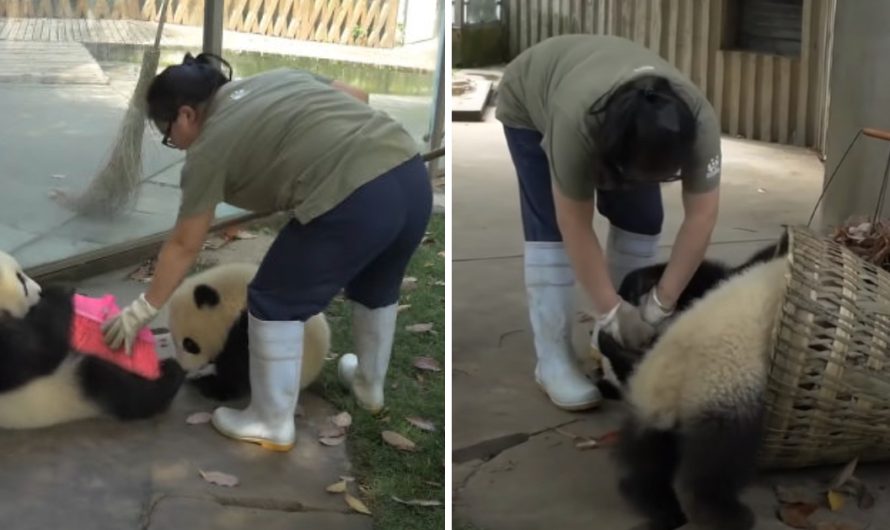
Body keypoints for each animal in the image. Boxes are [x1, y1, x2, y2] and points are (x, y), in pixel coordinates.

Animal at [0, 250, 182, 426]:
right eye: (21, 281)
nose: (39, 291)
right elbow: (40, 348)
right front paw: (60, 291)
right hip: (74, 384)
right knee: (121, 389)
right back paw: (170, 374)